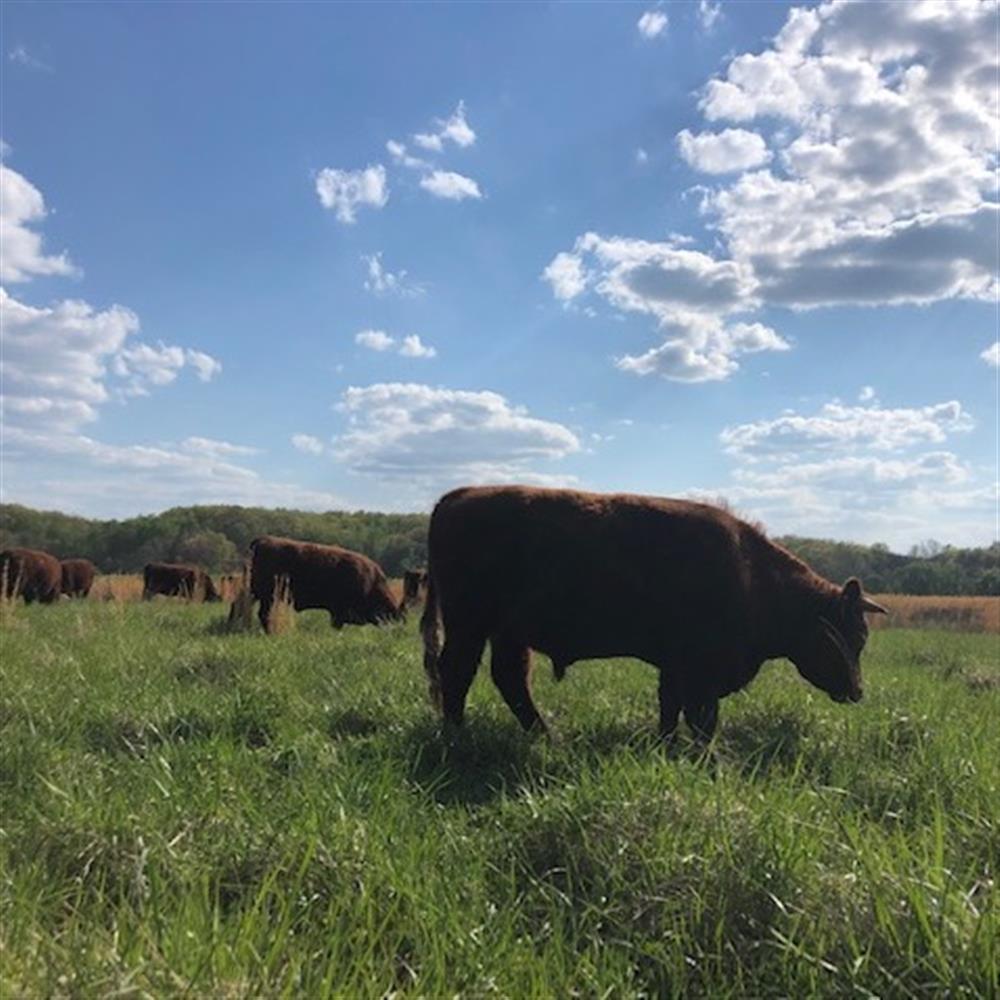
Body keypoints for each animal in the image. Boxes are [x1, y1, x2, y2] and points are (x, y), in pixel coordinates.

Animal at [249, 540, 402, 632]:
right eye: (387, 614)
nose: (389, 630)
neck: (372, 583)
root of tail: (263, 540)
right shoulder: (338, 612)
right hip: (267, 597)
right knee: (264, 614)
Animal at [418, 484, 888, 744]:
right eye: (852, 637)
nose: (857, 691)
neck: (754, 576)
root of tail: (456, 497)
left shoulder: (675, 667)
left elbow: (670, 708)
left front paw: (665, 748)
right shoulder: (698, 670)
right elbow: (701, 718)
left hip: (508, 632)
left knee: (509, 678)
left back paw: (548, 738)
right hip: (470, 625)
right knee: (457, 673)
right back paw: (458, 737)